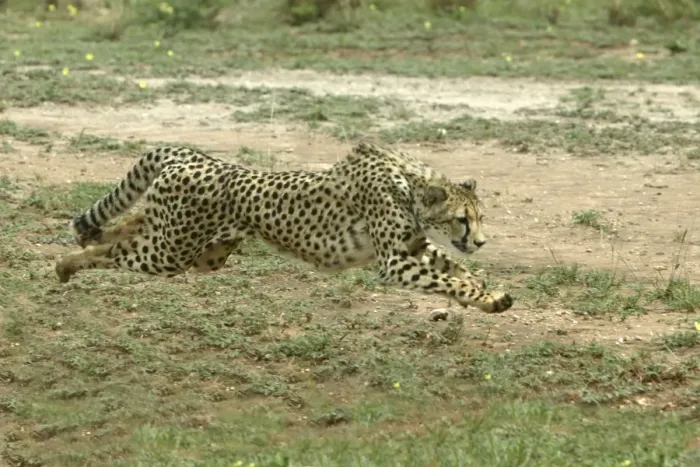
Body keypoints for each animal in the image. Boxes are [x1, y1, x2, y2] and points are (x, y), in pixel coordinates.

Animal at [55, 141, 513, 314]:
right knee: (116, 252)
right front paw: (484, 297)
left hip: (200, 251)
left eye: (481, 217)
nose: (481, 240)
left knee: (127, 223)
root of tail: (194, 155)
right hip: (171, 253)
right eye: (462, 219)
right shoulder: (395, 262)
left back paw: (81, 245)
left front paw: (485, 292)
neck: (410, 184)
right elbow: (449, 279)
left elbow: (456, 270)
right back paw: (67, 264)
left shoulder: (415, 247)